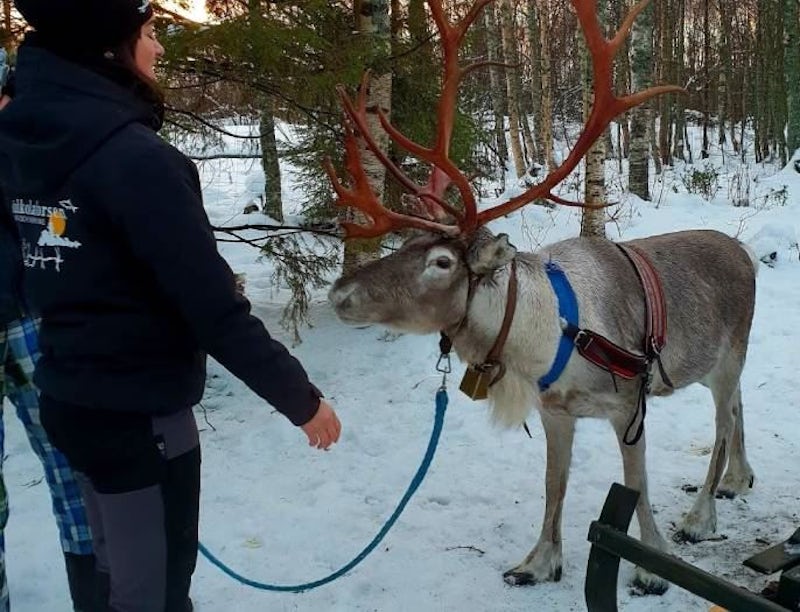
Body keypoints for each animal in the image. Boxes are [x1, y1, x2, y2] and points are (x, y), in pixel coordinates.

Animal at [326, 0, 758, 595]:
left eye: (441, 262)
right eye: (409, 243)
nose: (339, 292)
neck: (546, 339)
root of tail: (746, 253)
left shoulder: (630, 406)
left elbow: (638, 486)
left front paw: (650, 565)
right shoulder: (556, 412)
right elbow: (553, 487)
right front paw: (539, 561)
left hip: (728, 355)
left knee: (720, 423)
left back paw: (702, 516)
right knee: (738, 407)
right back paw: (740, 479)